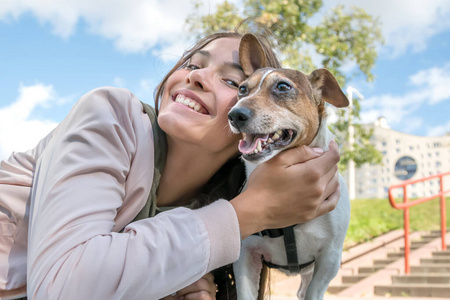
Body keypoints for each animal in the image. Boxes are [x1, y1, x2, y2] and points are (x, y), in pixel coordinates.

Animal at [229, 33, 352, 300]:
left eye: (283, 87)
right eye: (242, 89)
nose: (234, 115)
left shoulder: (329, 259)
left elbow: (314, 292)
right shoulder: (245, 255)